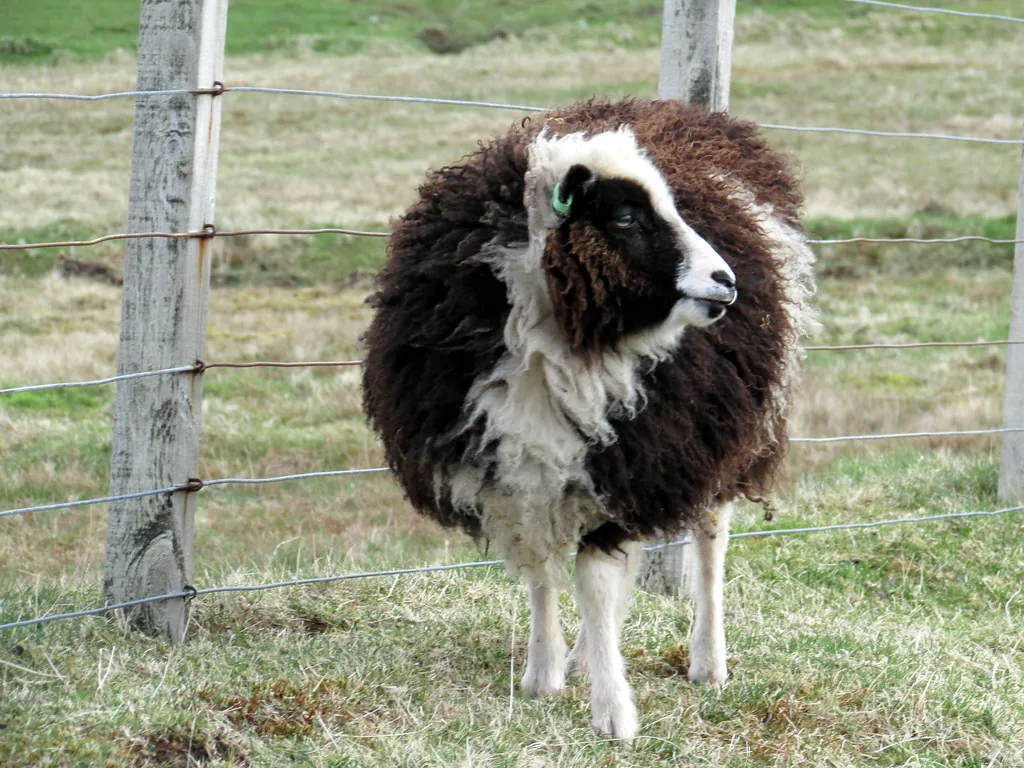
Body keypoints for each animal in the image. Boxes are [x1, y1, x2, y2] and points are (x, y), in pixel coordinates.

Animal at [362, 98, 816, 739]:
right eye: (625, 217)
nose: (726, 280)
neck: (556, 337)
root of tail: (692, 113)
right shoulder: (511, 471)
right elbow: (541, 573)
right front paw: (544, 674)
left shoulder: (628, 461)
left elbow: (597, 586)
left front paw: (613, 713)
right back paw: (581, 659)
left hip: (728, 435)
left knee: (710, 541)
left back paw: (708, 660)